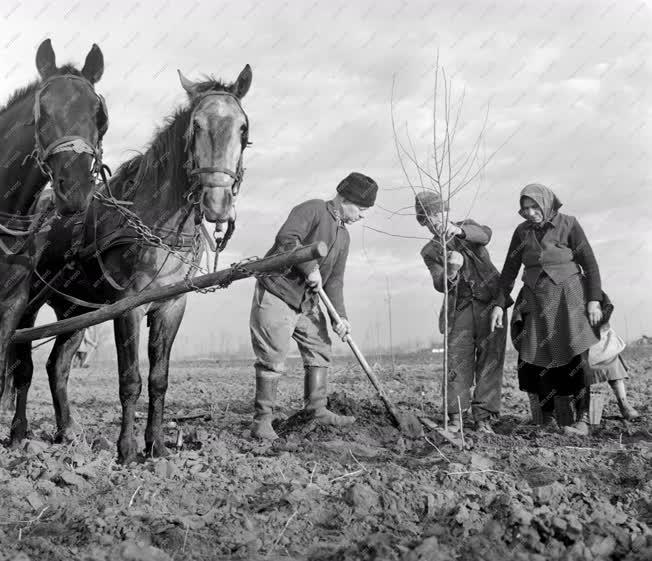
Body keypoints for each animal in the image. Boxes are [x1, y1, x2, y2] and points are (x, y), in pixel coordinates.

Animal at [13, 65, 252, 462]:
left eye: (243, 128)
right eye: (195, 126)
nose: (217, 203)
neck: (157, 222)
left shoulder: (171, 305)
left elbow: (158, 379)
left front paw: (156, 446)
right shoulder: (127, 306)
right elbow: (130, 379)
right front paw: (126, 449)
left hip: (76, 310)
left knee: (56, 365)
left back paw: (68, 432)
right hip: (29, 303)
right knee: (22, 364)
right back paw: (18, 431)